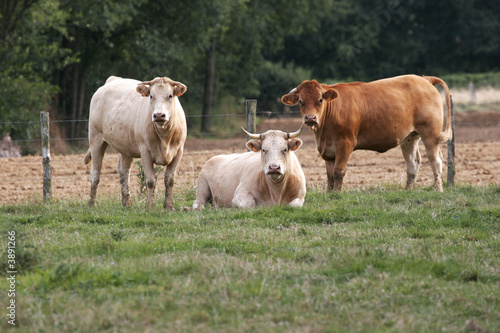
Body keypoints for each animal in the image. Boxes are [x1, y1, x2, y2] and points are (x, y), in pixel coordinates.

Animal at [84, 76, 188, 209]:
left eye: (170, 96)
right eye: (151, 96)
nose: (159, 115)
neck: (164, 136)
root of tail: (113, 79)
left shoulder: (179, 151)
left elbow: (169, 180)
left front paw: (169, 206)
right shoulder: (145, 151)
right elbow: (150, 180)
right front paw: (150, 206)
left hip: (125, 147)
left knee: (124, 171)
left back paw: (127, 203)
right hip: (95, 139)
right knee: (95, 173)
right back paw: (91, 203)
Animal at [282, 74, 454, 191]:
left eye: (320, 100)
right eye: (301, 102)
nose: (310, 118)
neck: (323, 133)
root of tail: (424, 78)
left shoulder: (345, 144)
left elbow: (338, 172)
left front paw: (336, 194)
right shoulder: (328, 150)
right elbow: (330, 176)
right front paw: (329, 194)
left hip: (430, 134)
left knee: (436, 161)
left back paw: (438, 190)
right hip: (409, 138)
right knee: (413, 163)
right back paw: (408, 191)